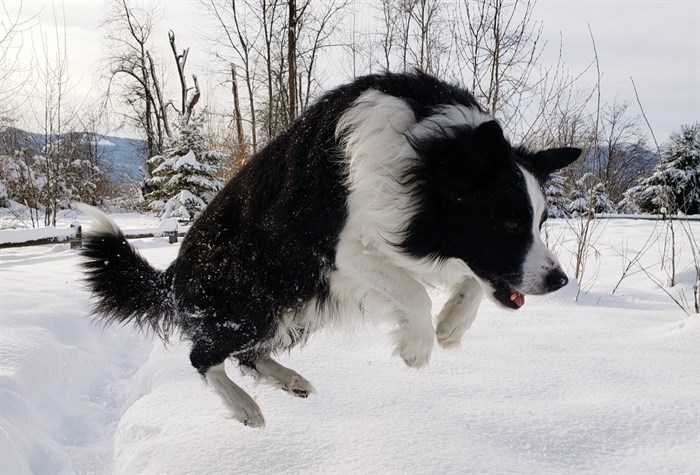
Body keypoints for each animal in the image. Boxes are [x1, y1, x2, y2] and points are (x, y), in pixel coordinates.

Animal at [78, 72, 580, 430]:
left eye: (540, 222)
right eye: (509, 222)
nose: (559, 281)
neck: (422, 154)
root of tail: (173, 273)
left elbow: (471, 279)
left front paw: (452, 324)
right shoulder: (336, 250)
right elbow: (414, 291)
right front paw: (417, 348)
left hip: (291, 303)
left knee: (246, 352)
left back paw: (290, 381)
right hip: (255, 292)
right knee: (204, 356)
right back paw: (245, 407)